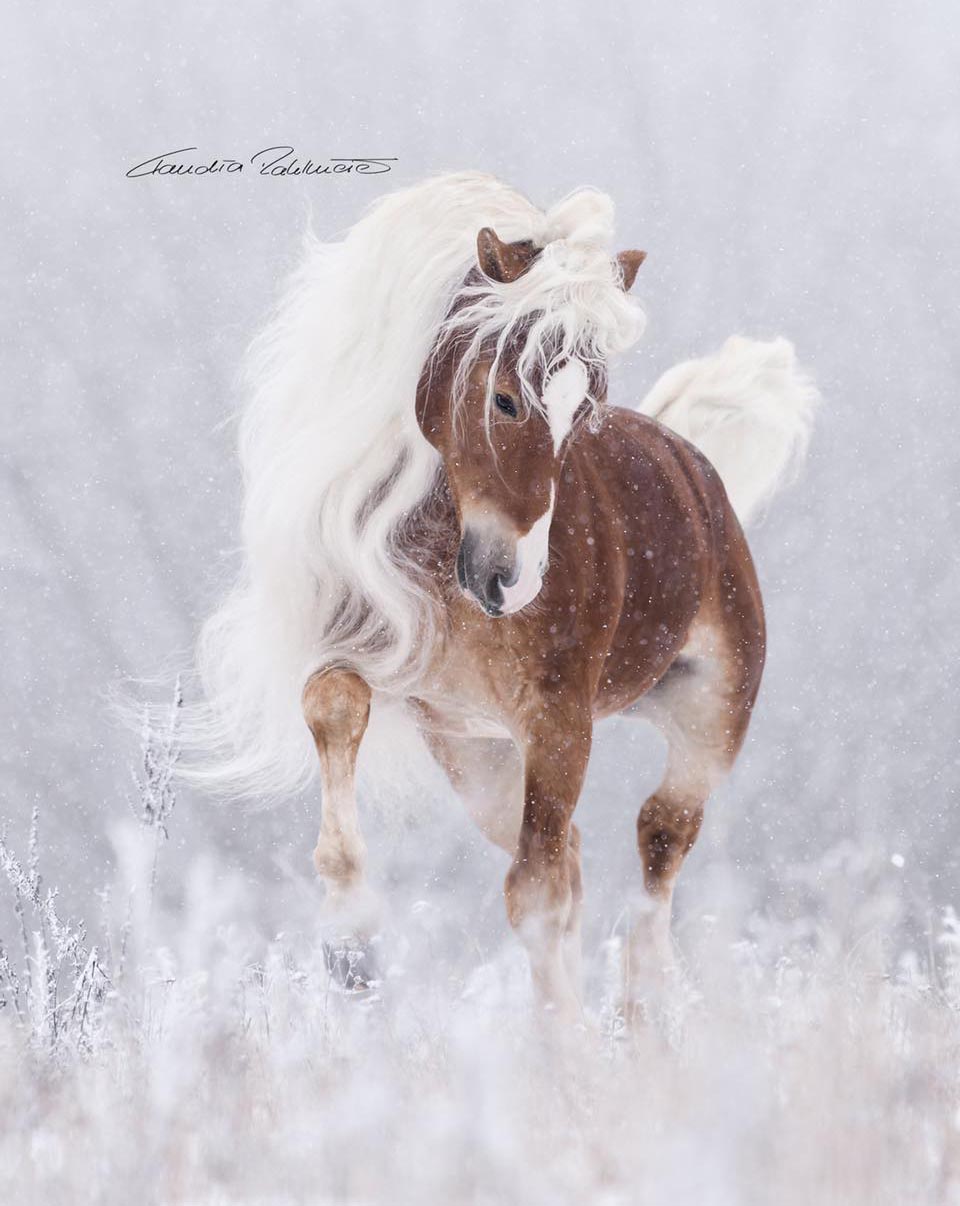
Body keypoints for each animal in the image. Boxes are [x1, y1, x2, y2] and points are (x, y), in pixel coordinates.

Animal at [190, 172, 818, 1022]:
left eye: (585, 411)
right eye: (505, 399)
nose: (512, 580)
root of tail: (697, 471)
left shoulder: (559, 718)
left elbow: (536, 898)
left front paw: (566, 1054)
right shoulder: (367, 655)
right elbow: (335, 708)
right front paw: (350, 940)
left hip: (710, 715)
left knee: (658, 838)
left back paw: (645, 1013)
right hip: (477, 756)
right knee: (578, 858)